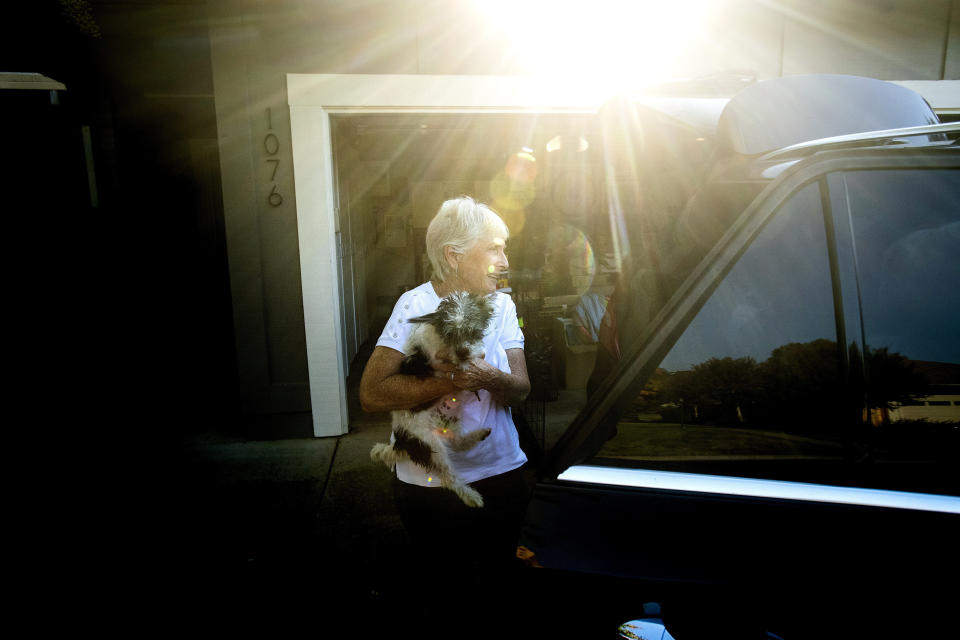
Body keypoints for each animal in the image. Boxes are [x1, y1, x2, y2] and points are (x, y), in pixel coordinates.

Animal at [370, 292, 496, 508]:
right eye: (449, 333)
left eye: (472, 330)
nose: (463, 353)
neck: (442, 344)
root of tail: (402, 443)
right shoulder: (436, 364)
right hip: (430, 444)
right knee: (448, 477)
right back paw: (470, 496)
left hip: (449, 423)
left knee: (457, 443)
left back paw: (478, 435)